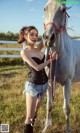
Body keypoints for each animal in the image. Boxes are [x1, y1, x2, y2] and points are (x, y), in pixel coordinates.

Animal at [42, 0, 80, 133]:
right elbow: (49, 106)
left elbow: (66, 109)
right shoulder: (49, 82)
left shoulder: (67, 83)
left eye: (63, 10)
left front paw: (68, 129)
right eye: (45, 8)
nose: (48, 38)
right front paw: (46, 127)